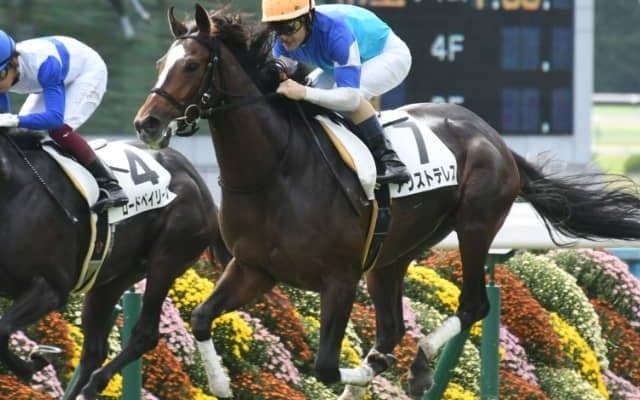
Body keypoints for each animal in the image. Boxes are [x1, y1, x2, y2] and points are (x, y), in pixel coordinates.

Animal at [0, 127, 230, 400]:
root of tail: (199, 182)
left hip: (168, 257)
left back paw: (92, 386)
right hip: (111, 278)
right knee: (94, 350)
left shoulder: (51, 289)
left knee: (145, 334)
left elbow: (2, 329)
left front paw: (36, 361)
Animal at [133, 4, 640, 398]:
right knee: (394, 326)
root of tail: (493, 136)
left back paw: (419, 367)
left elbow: (326, 366)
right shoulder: (254, 267)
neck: (276, 170)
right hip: (391, 255)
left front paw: (366, 373)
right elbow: (201, 318)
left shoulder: (339, 278)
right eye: (159, 62)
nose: (146, 124)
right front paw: (220, 382)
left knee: (472, 306)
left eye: (191, 66)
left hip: (475, 226)